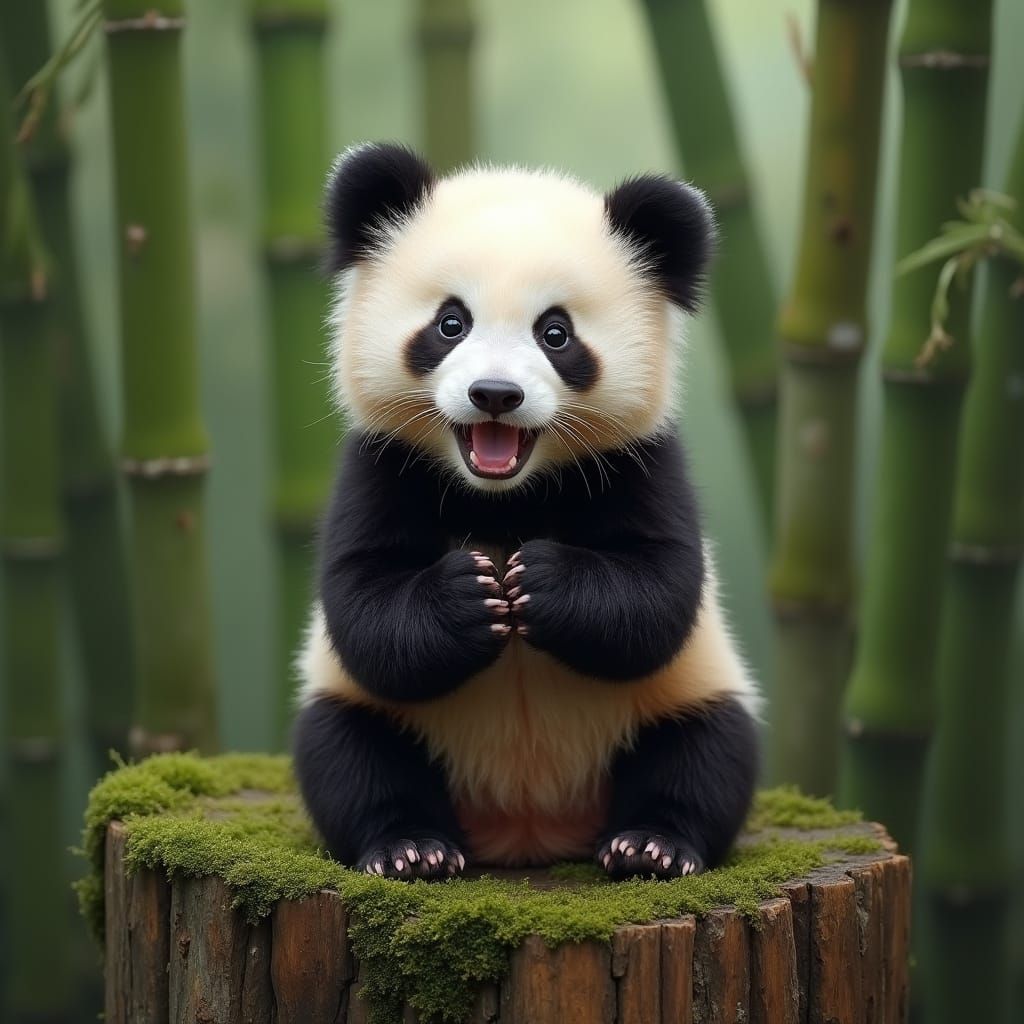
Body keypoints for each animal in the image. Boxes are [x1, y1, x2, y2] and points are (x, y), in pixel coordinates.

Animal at [294, 142, 760, 882]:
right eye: (450, 322)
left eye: (556, 333)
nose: (495, 394)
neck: (505, 494)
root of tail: (527, 829)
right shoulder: (380, 465)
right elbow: (363, 605)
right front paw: (473, 591)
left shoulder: (643, 462)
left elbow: (660, 591)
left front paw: (536, 579)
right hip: (361, 711)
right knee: (349, 753)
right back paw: (411, 849)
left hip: (687, 691)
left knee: (706, 752)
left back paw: (651, 845)